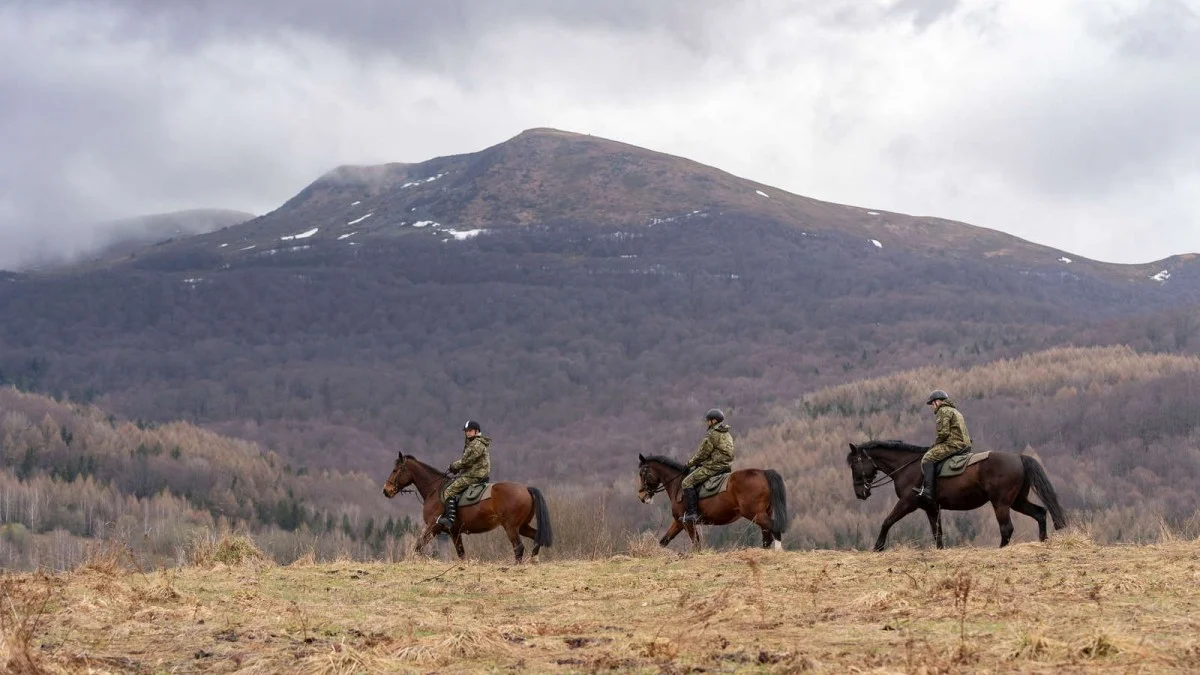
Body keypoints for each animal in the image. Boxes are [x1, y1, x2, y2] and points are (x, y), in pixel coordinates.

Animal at [381, 451, 554, 562]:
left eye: (395, 470)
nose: (386, 490)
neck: (435, 489)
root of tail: (526, 488)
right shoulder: (454, 532)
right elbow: (461, 554)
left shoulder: (433, 526)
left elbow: (418, 546)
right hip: (522, 526)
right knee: (536, 538)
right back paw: (533, 561)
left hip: (511, 527)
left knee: (518, 547)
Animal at [633, 454, 792, 550]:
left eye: (642, 473)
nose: (642, 496)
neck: (678, 484)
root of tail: (763, 472)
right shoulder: (679, 522)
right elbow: (664, 540)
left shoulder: (687, 523)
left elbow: (696, 544)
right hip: (763, 513)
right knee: (767, 536)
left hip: (755, 514)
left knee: (774, 529)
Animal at [844, 439, 1070, 550]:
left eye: (855, 464)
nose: (859, 493)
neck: (907, 466)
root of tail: (1019, 457)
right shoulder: (931, 508)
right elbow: (938, 533)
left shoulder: (908, 503)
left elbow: (887, 521)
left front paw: (878, 547)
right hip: (1017, 501)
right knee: (1040, 513)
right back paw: (1043, 541)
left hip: (1001, 503)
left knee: (1007, 528)